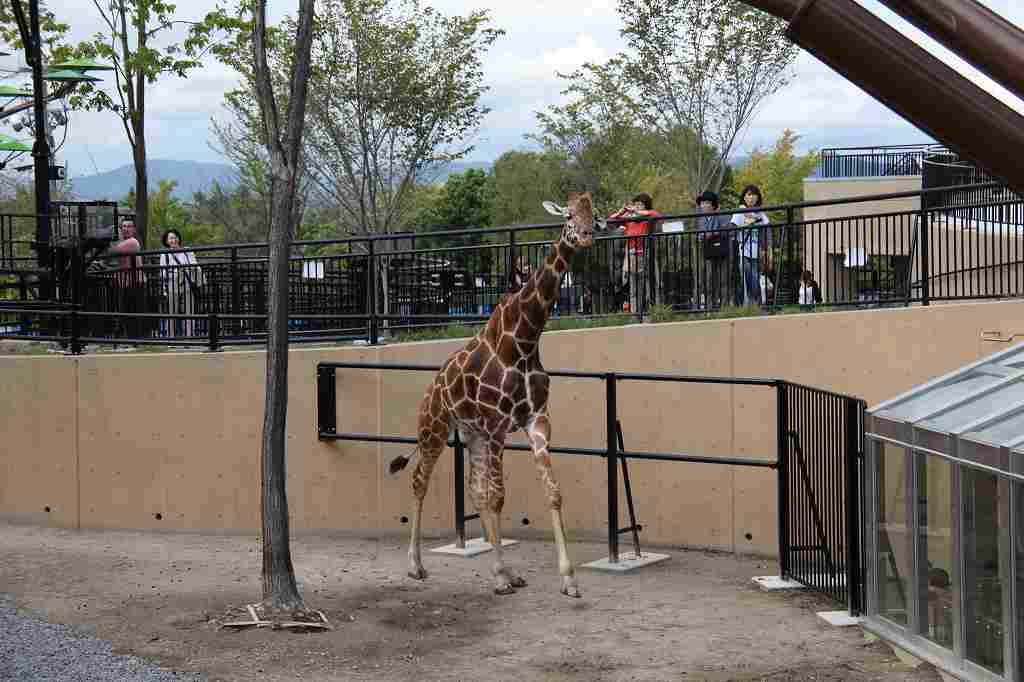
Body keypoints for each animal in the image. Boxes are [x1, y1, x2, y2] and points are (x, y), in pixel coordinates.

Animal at [389, 191, 598, 593]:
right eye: (568, 215)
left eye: (593, 215)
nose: (585, 236)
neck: (525, 341)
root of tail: (431, 388)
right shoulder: (499, 425)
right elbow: (499, 498)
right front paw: (502, 576)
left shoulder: (536, 420)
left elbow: (552, 492)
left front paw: (568, 579)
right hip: (434, 429)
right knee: (420, 480)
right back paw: (416, 566)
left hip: (473, 435)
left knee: (475, 489)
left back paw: (507, 571)